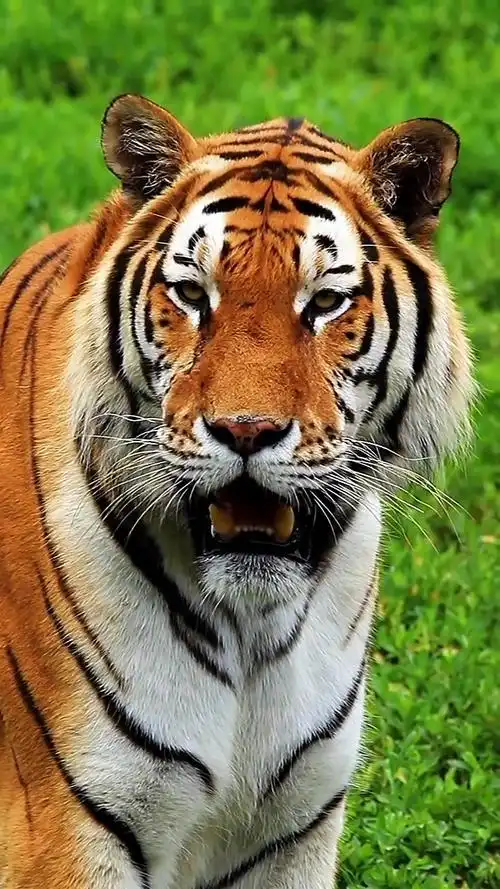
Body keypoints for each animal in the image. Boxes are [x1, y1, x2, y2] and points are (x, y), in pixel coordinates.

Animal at [0, 93, 473, 889]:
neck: (253, 630)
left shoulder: (295, 827)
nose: (245, 430)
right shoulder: (64, 826)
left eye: (325, 302)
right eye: (193, 295)